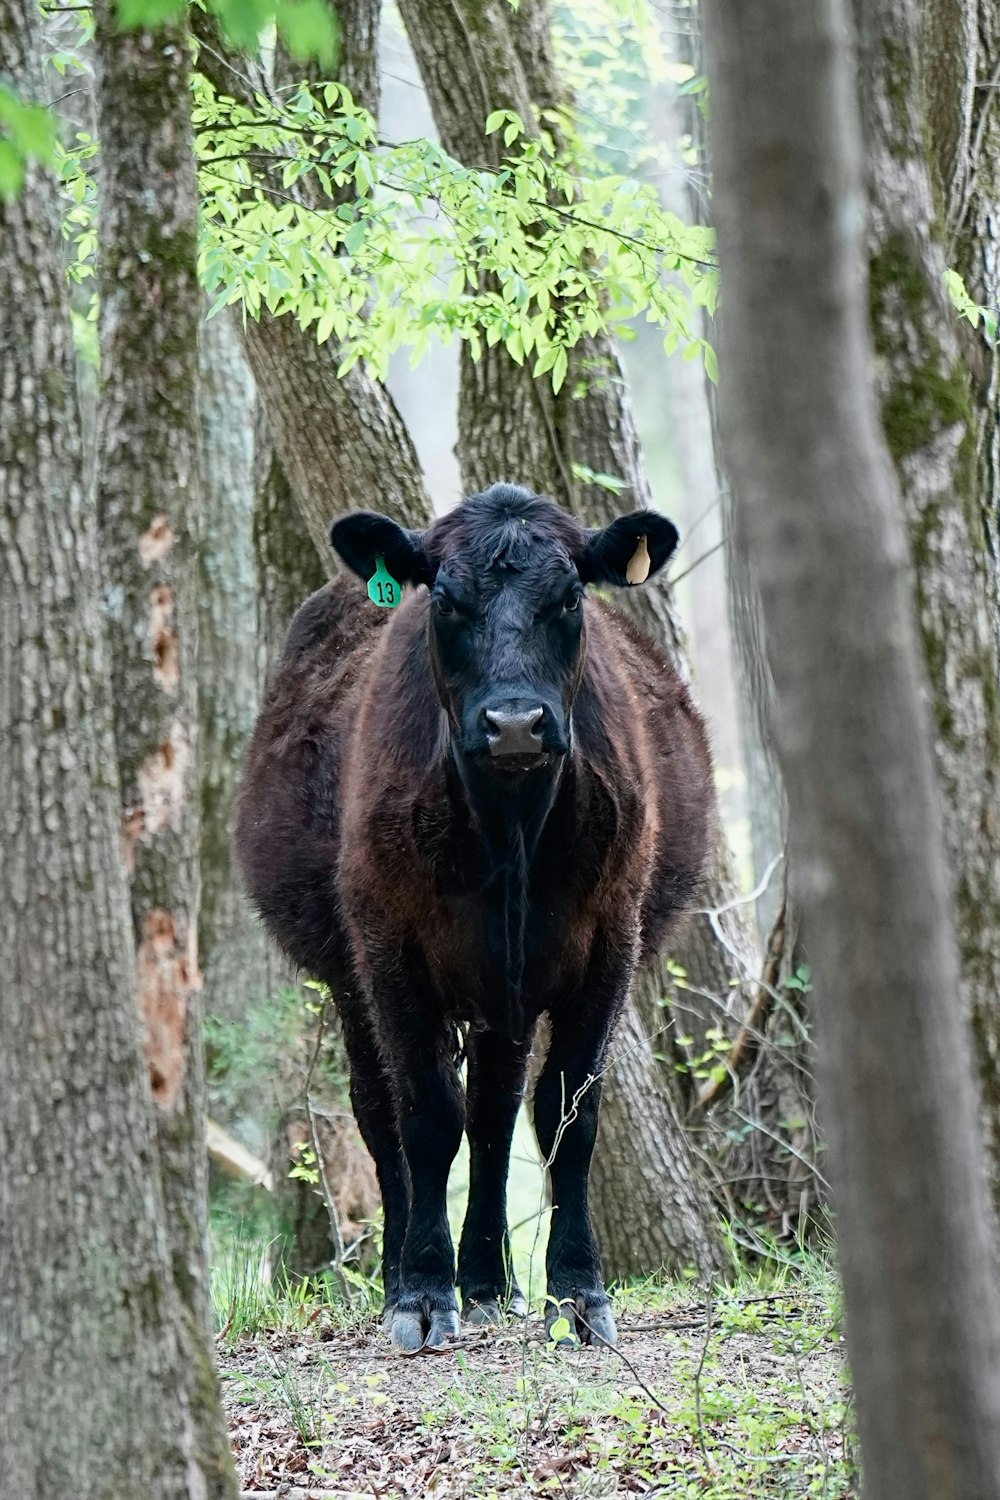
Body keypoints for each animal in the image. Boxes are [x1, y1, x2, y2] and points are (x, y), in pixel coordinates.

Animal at [238, 486, 716, 1356]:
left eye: (570, 598)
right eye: (445, 600)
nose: (516, 723)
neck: (511, 828)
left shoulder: (609, 942)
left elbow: (566, 1114)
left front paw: (577, 1292)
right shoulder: (389, 948)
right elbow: (426, 1115)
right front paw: (424, 1294)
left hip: (509, 995)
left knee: (495, 1112)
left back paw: (492, 1283)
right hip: (353, 980)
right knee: (380, 1112)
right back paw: (403, 1273)